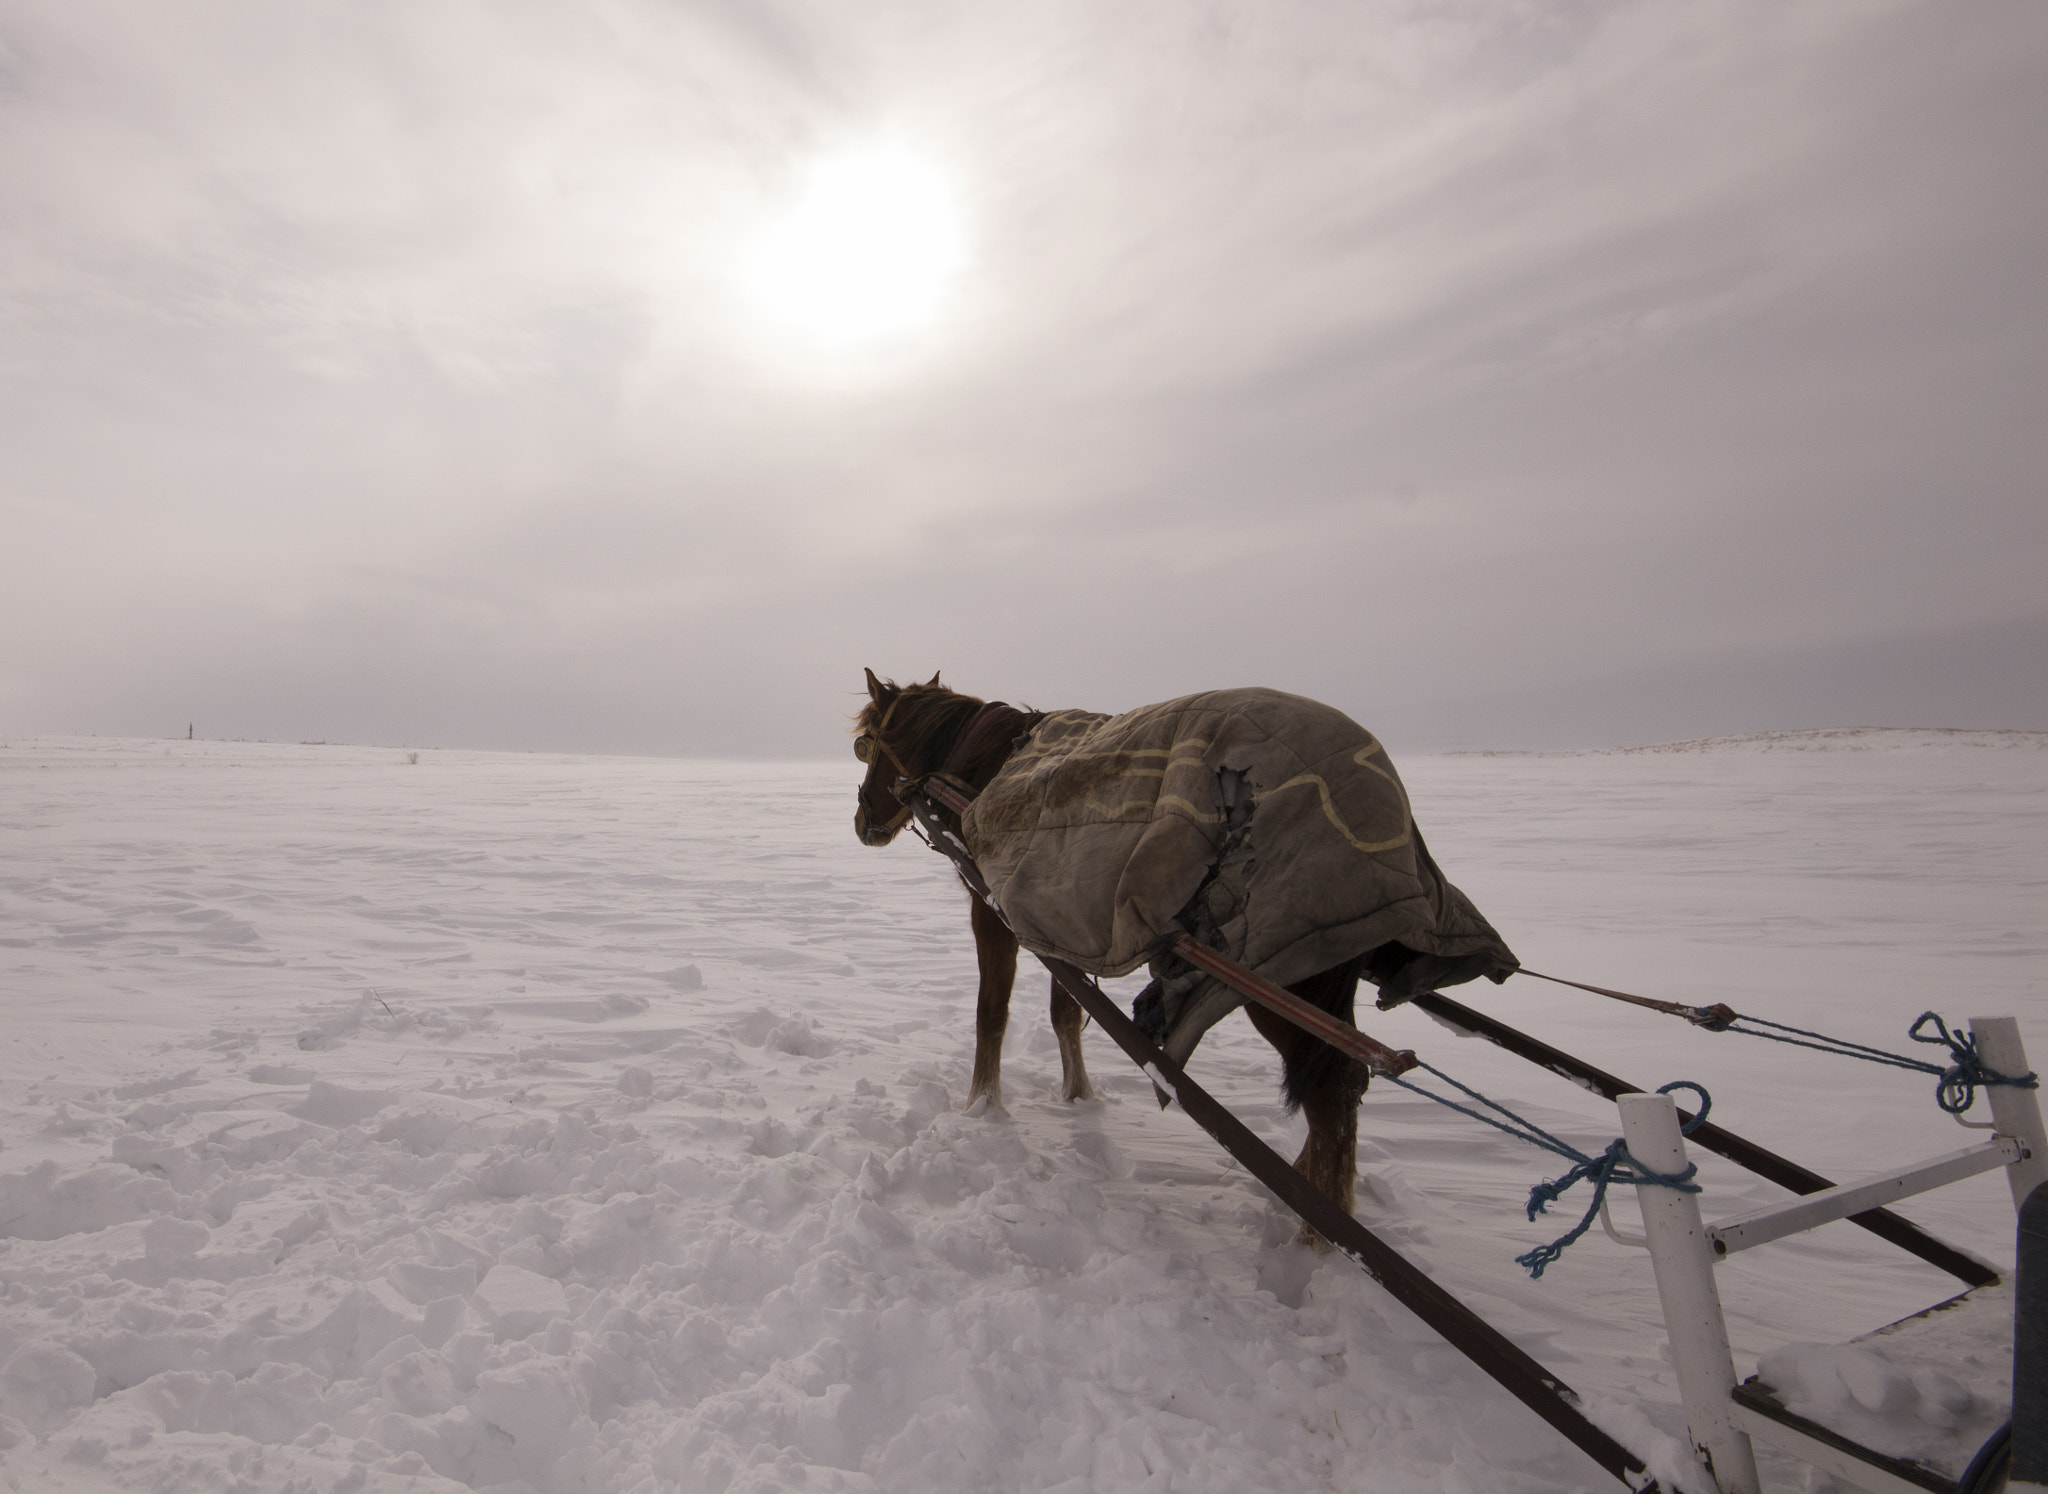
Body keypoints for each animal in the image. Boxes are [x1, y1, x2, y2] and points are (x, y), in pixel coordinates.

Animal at [847, 668, 1409, 1221]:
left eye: (866, 742)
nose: (861, 822)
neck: (983, 766)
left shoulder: (994, 913)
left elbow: (991, 1013)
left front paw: (982, 1107)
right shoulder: (1060, 923)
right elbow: (1066, 1014)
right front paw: (1078, 1098)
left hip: (1282, 978)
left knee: (1331, 1092)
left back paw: (1315, 1227)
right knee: (1339, 1086)